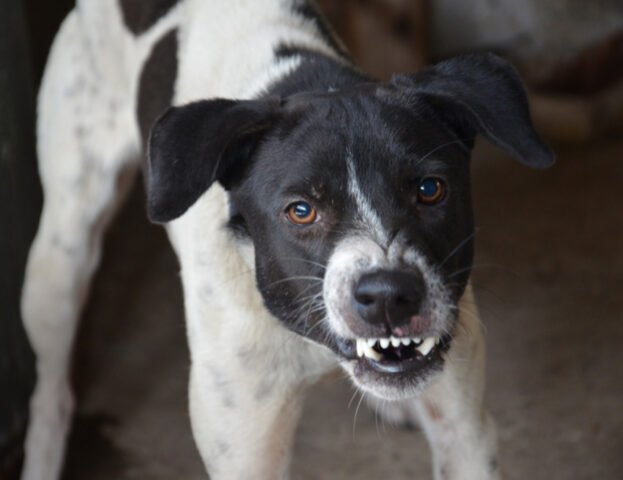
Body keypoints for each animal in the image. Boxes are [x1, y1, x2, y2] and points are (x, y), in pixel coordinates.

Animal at [20, 1, 556, 478]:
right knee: (51, 391)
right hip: (61, 257)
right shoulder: (245, 454)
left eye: (430, 189)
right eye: (301, 210)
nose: (389, 296)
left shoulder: (465, 433)